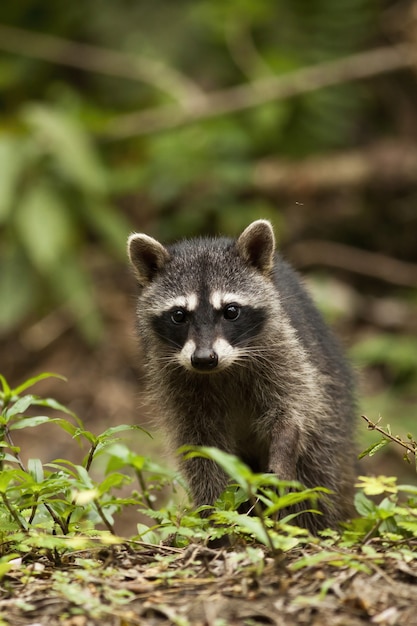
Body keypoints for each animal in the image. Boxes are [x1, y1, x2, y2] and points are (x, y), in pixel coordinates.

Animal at [127, 221, 354, 532]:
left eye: (231, 311)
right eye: (179, 315)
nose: (203, 359)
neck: (222, 369)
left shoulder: (284, 349)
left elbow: (293, 406)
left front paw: (283, 448)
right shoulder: (174, 382)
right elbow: (200, 450)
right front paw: (214, 513)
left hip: (330, 411)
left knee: (317, 473)